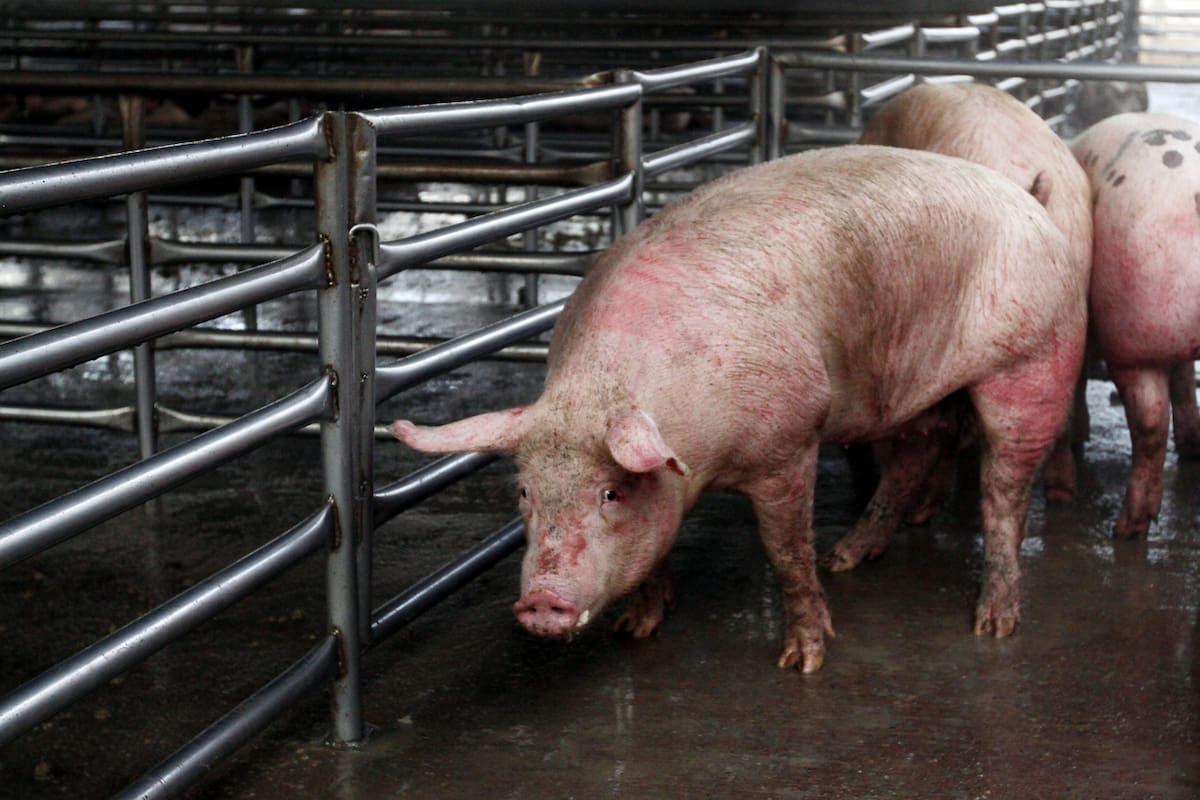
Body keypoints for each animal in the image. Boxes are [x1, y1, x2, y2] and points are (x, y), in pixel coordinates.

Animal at [392, 145, 1087, 673]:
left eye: (610, 493)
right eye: (525, 494)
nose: (539, 602)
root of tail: (1032, 201)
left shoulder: (790, 441)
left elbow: (786, 551)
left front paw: (804, 660)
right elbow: (660, 549)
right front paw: (637, 630)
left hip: (1032, 359)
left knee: (1004, 488)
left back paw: (993, 623)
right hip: (915, 382)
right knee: (922, 446)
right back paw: (849, 556)